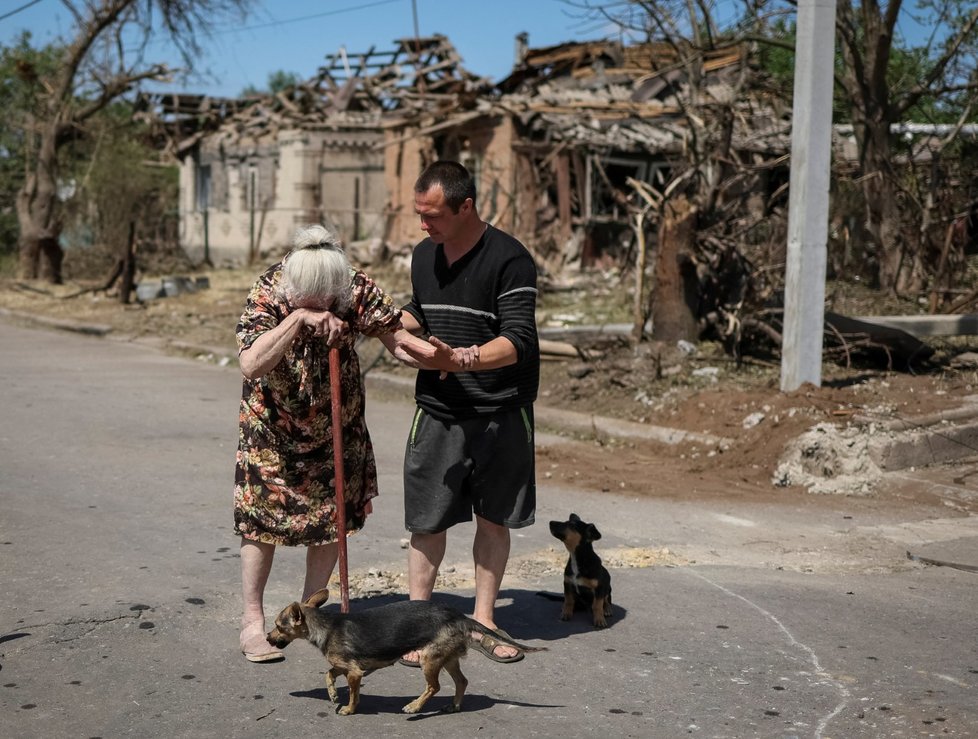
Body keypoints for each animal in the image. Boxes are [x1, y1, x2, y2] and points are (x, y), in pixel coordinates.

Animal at [264, 588, 544, 716]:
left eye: (278, 626)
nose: (267, 638)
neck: (326, 626)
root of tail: (460, 616)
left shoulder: (355, 673)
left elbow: (353, 694)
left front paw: (348, 709)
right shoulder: (344, 667)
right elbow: (329, 674)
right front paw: (333, 695)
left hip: (429, 660)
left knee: (434, 687)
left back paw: (414, 707)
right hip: (447, 658)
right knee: (462, 681)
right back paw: (454, 705)